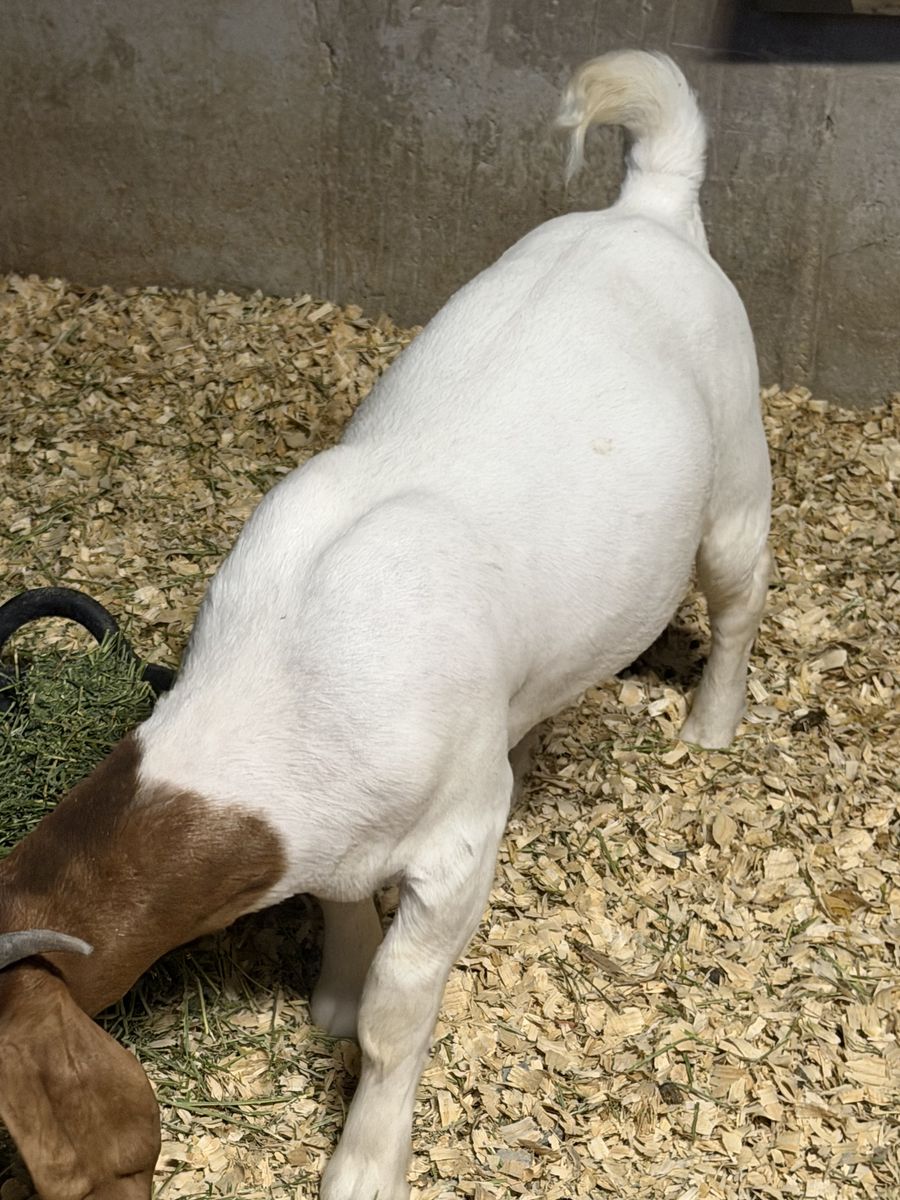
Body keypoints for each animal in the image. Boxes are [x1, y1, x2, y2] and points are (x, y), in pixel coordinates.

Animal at [0, 49, 770, 1200]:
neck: (282, 679)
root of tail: (649, 206)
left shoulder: (458, 841)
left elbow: (400, 1007)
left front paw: (365, 1159)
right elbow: (340, 909)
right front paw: (329, 990)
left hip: (734, 482)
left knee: (738, 593)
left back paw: (711, 728)